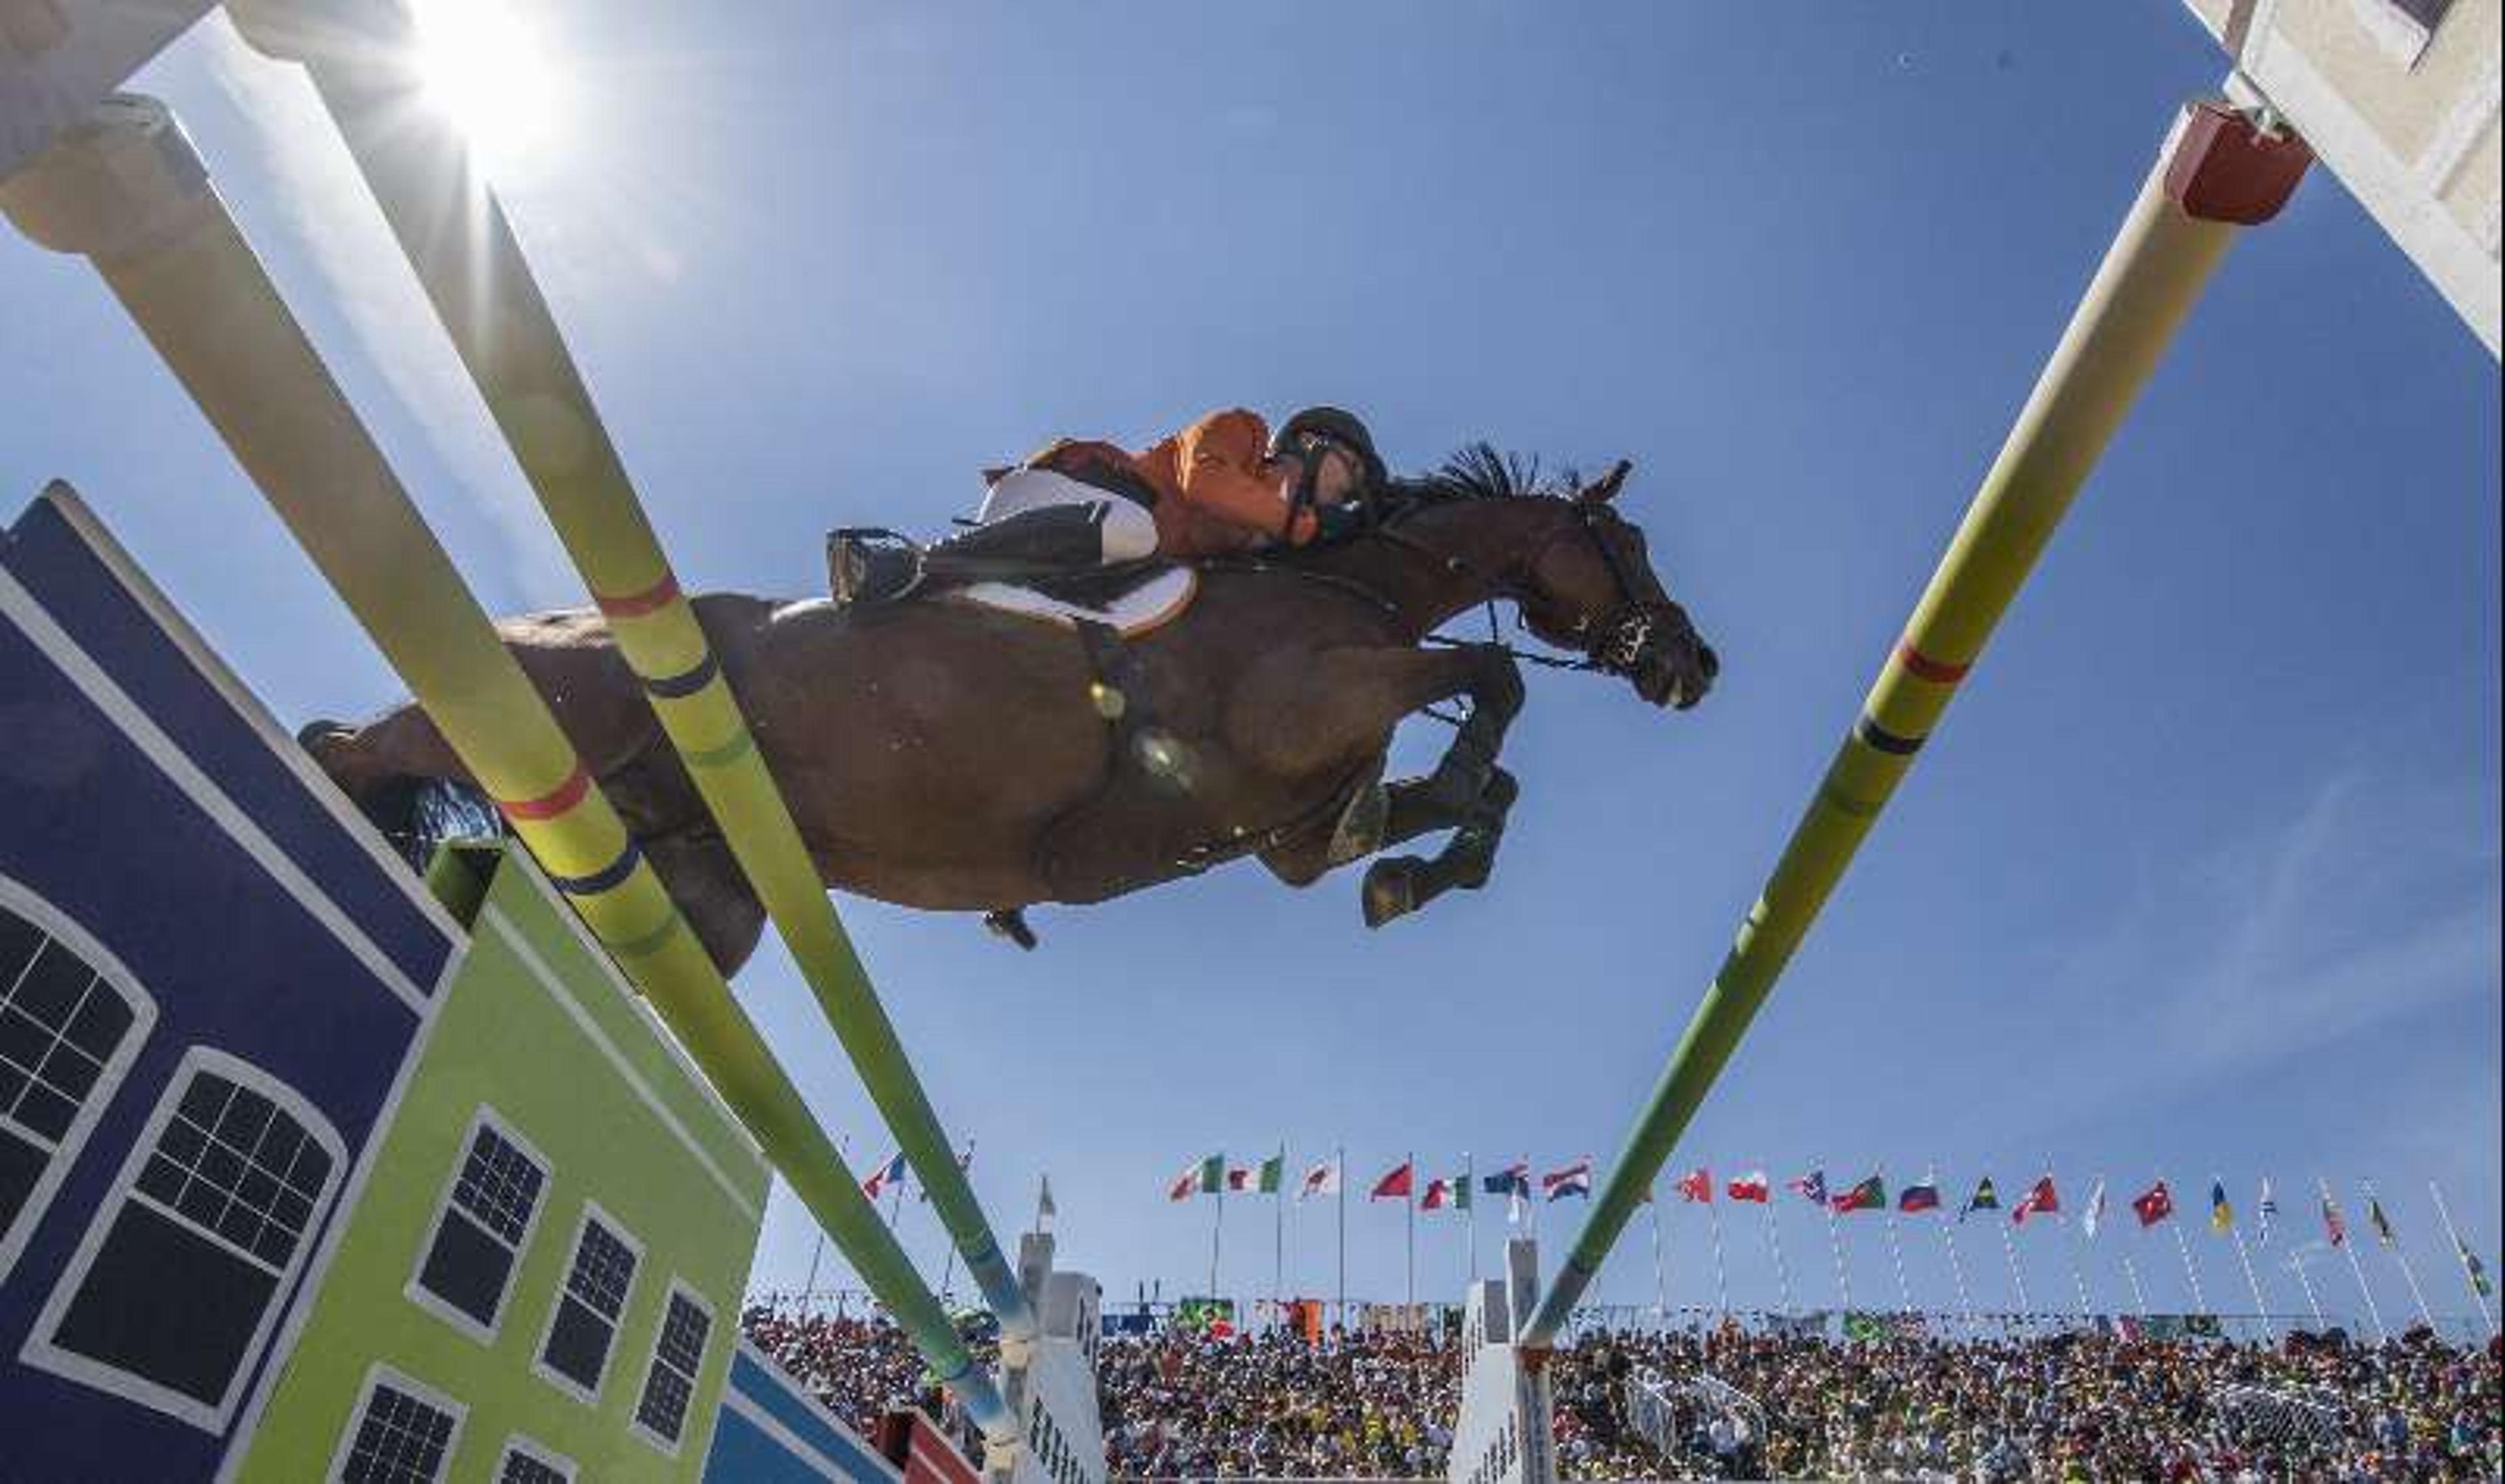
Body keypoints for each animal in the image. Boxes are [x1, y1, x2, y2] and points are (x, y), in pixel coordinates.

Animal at [303, 444, 1713, 973]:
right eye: (1631, 541)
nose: (1692, 664)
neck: (1344, 572)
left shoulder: (1287, 837)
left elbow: (1436, 805)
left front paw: (1418, 871)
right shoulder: (1305, 706)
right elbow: (1493, 681)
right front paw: (1431, 849)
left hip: (700, 888)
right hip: (536, 715)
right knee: (361, 743)